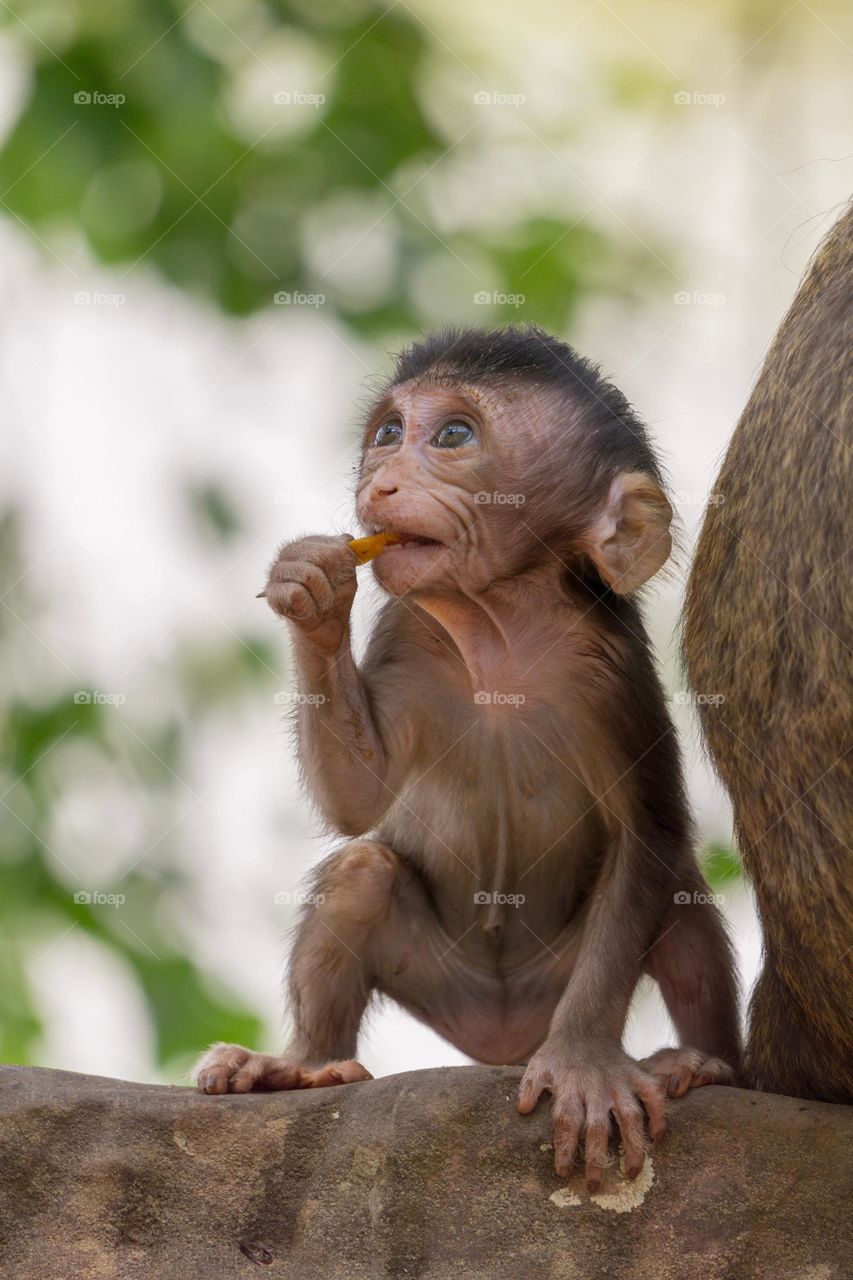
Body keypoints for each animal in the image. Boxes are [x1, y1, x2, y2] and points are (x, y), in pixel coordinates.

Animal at [196, 325, 741, 1189]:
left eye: (453, 436)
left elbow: (649, 836)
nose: (380, 481)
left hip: (556, 981)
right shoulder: (408, 631)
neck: (495, 633)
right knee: (363, 869)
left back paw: (705, 1062)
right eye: (388, 433)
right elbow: (359, 798)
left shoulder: (611, 671)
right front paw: (313, 589)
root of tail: (501, 1040)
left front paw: (584, 1064)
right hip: (444, 982)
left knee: (678, 894)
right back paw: (303, 1065)